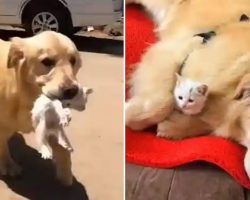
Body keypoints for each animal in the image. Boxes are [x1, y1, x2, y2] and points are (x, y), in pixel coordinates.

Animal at [0, 30, 82, 185]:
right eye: (47, 62)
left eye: (73, 60)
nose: (72, 90)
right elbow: (2, 146)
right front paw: (8, 165)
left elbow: (63, 149)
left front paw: (65, 173)